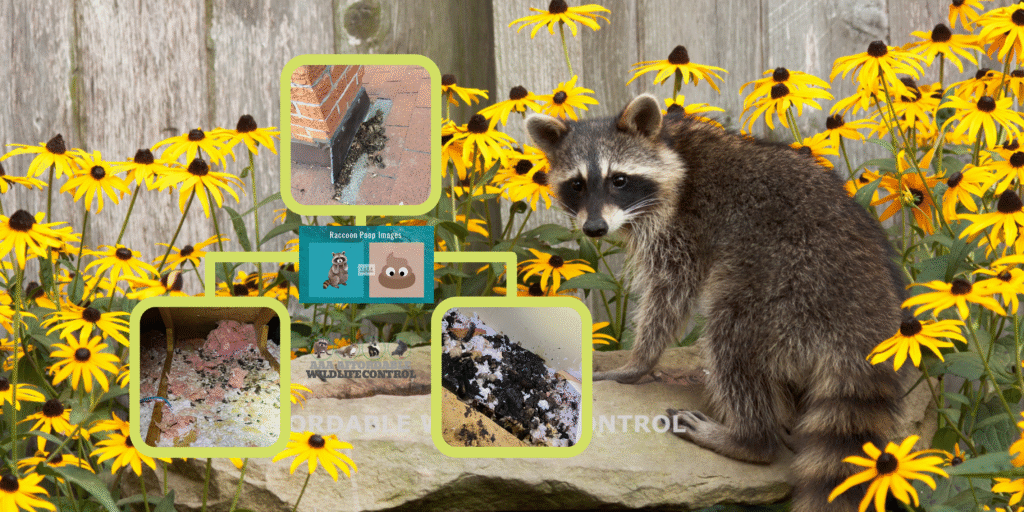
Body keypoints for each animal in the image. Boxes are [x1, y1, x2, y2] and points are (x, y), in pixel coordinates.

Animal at [526, 94, 907, 512]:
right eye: (576, 185)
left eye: (619, 180)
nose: (594, 229)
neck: (670, 146)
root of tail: (867, 315)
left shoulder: (683, 225)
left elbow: (671, 293)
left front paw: (637, 362)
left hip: (788, 286)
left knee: (731, 338)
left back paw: (749, 438)